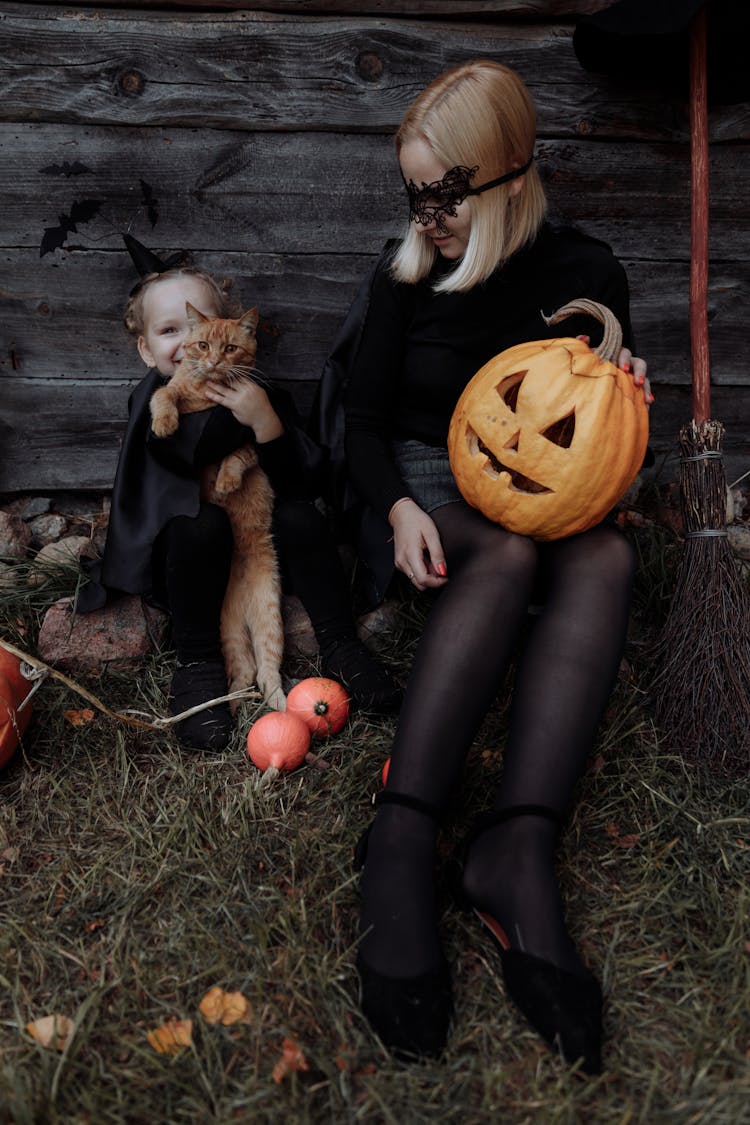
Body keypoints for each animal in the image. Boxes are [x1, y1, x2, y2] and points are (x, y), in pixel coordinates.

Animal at [149, 301, 284, 711]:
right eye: (202, 345)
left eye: (230, 349)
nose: (212, 361)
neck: (207, 395)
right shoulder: (172, 393)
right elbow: (163, 397)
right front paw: (165, 424)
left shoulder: (251, 437)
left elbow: (236, 456)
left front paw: (226, 481)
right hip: (228, 632)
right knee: (244, 671)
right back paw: (233, 705)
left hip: (270, 617)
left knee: (267, 671)